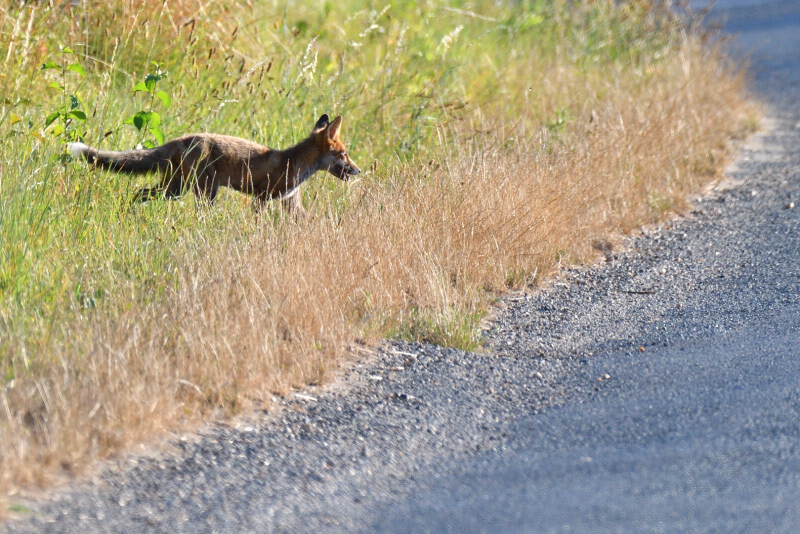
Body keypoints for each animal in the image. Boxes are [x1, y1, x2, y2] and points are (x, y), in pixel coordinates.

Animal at [68, 114, 360, 211]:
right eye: (344, 154)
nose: (358, 170)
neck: (295, 163)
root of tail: (182, 138)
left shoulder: (290, 202)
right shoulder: (262, 198)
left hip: (174, 189)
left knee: (139, 193)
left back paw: (128, 214)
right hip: (203, 192)